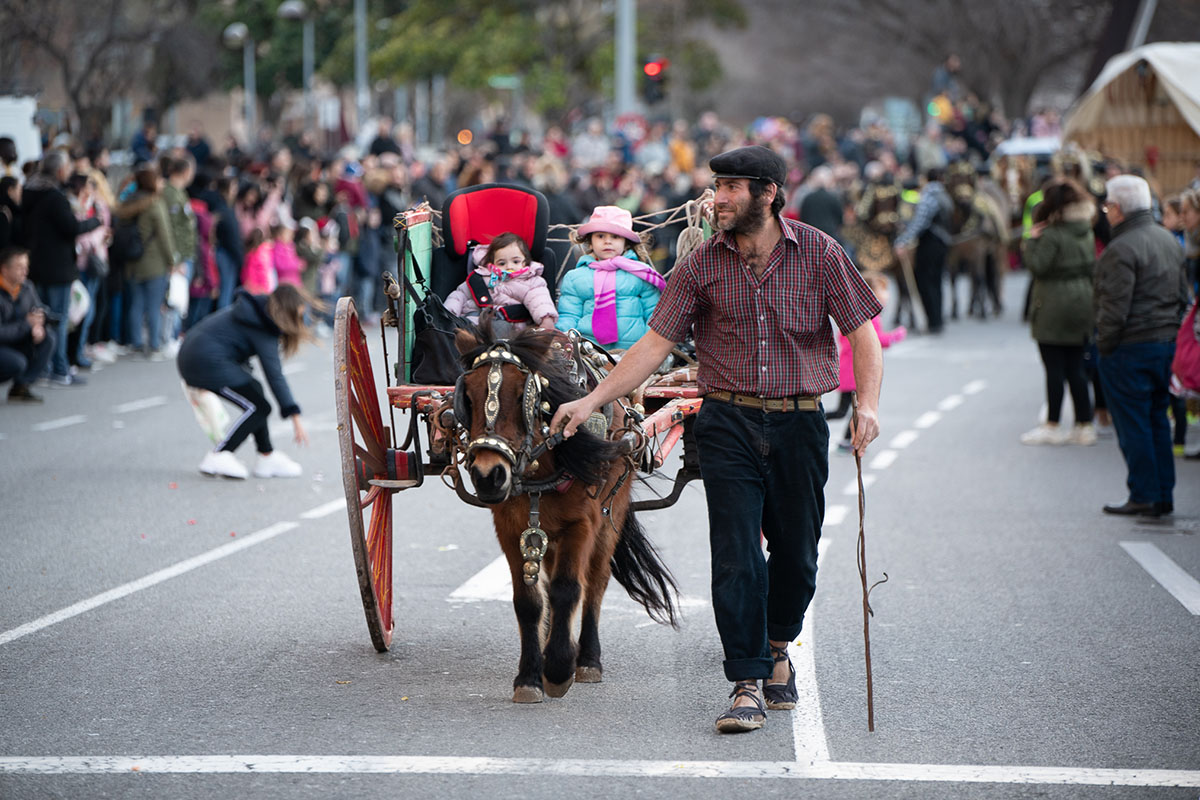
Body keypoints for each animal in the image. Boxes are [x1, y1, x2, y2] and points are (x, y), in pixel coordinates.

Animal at [451, 321, 681, 705]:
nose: (488, 475)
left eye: (522, 394)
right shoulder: (511, 529)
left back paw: (586, 659)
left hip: (611, 514)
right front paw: (530, 676)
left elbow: (568, 589)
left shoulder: (582, 524)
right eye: (467, 396)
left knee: (596, 581)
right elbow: (528, 601)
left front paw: (559, 668)